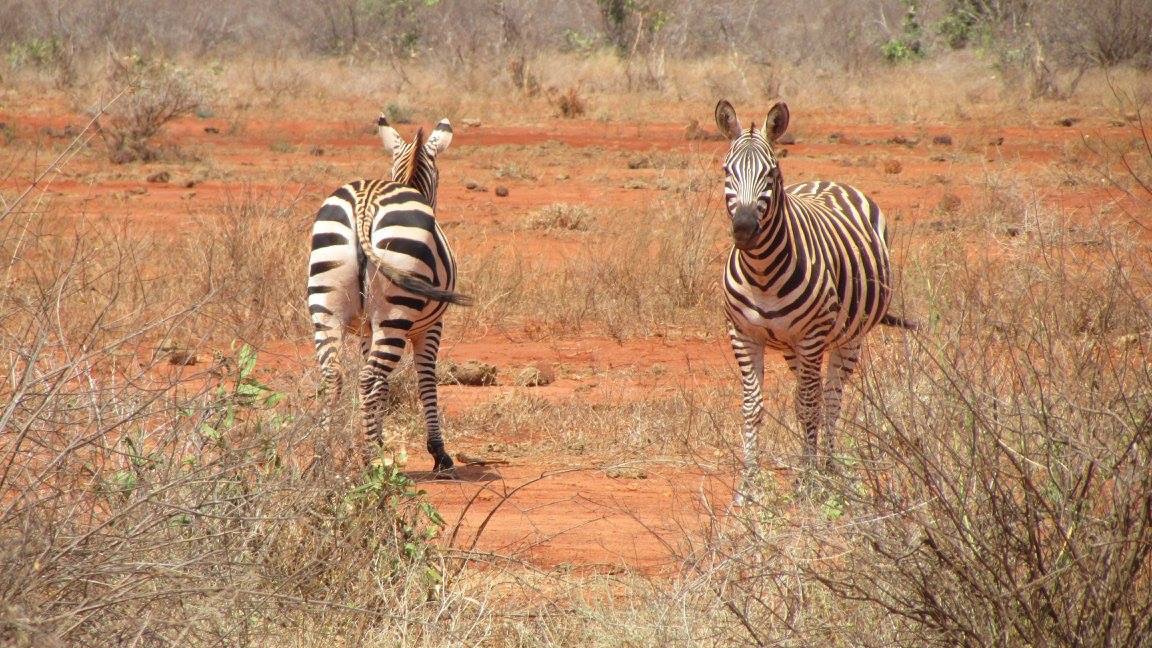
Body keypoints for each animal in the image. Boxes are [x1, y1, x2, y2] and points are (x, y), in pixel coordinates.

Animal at [306, 115, 471, 475]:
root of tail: (365, 202)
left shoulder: (368, 329)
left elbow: (383, 387)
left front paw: (378, 437)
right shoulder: (431, 327)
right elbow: (427, 379)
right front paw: (439, 453)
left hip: (326, 302)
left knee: (333, 376)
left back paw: (319, 457)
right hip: (397, 310)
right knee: (368, 379)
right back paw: (372, 462)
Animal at [713, 99, 915, 501]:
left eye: (771, 174)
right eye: (727, 170)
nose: (744, 229)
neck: (761, 272)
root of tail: (830, 181)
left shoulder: (812, 336)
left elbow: (810, 407)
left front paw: (808, 481)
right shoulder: (743, 335)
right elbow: (753, 407)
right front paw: (747, 486)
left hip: (846, 338)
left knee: (830, 398)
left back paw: (829, 466)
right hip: (794, 347)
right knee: (813, 395)